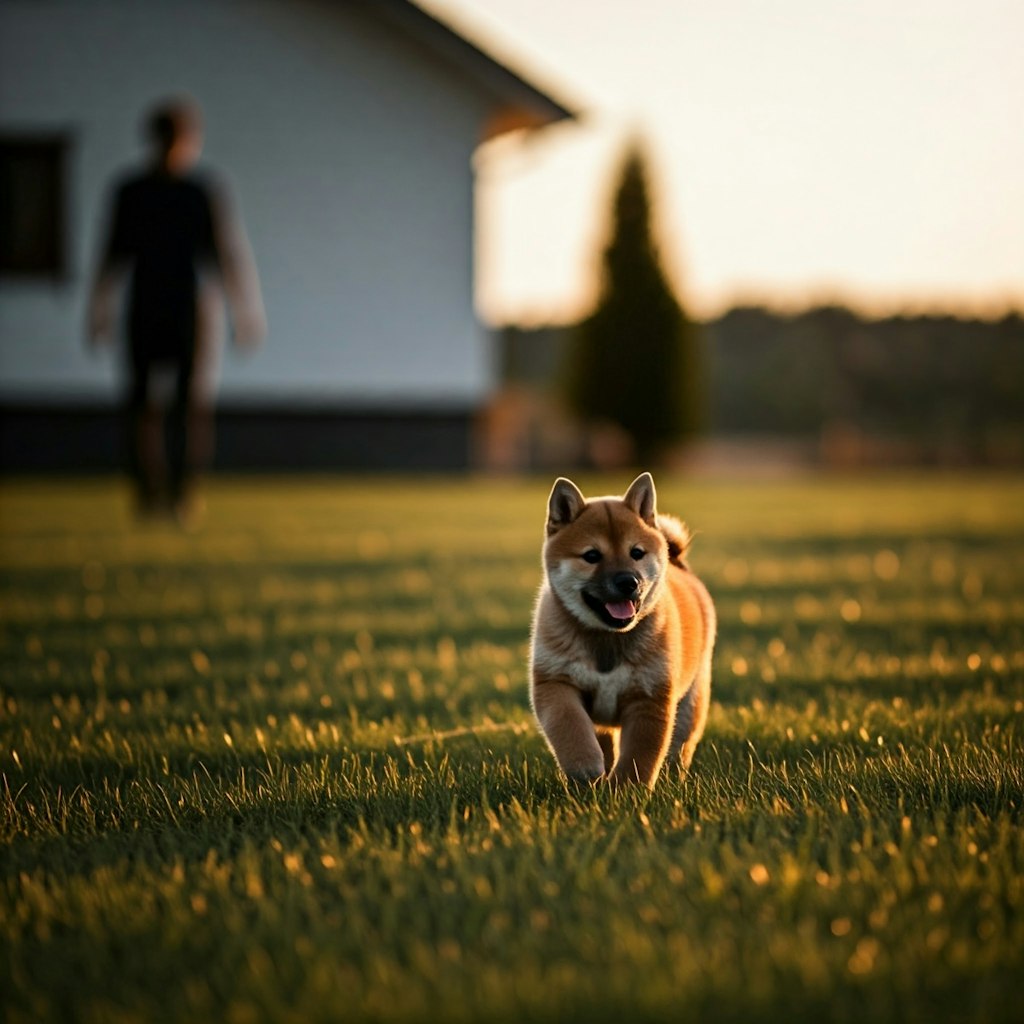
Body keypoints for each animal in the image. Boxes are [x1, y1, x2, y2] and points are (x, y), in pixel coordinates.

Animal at [532, 475, 716, 786]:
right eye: (592, 555)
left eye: (636, 553)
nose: (629, 581)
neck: (608, 639)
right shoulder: (555, 683)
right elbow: (570, 726)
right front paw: (585, 768)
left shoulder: (650, 696)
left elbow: (640, 754)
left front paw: (628, 789)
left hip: (691, 700)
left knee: (680, 744)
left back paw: (672, 777)